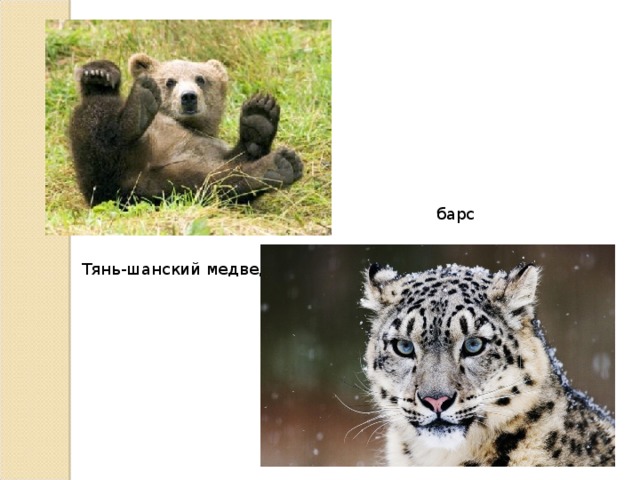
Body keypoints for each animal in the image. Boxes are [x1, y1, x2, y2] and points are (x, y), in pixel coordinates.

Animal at [69, 53, 303, 206]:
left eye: (201, 79)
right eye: (170, 81)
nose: (188, 97)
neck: (189, 125)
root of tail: (133, 179)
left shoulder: (210, 146)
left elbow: (238, 159)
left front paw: (259, 117)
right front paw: (99, 72)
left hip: (172, 183)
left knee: (216, 183)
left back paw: (278, 165)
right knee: (96, 118)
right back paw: (134, 103)